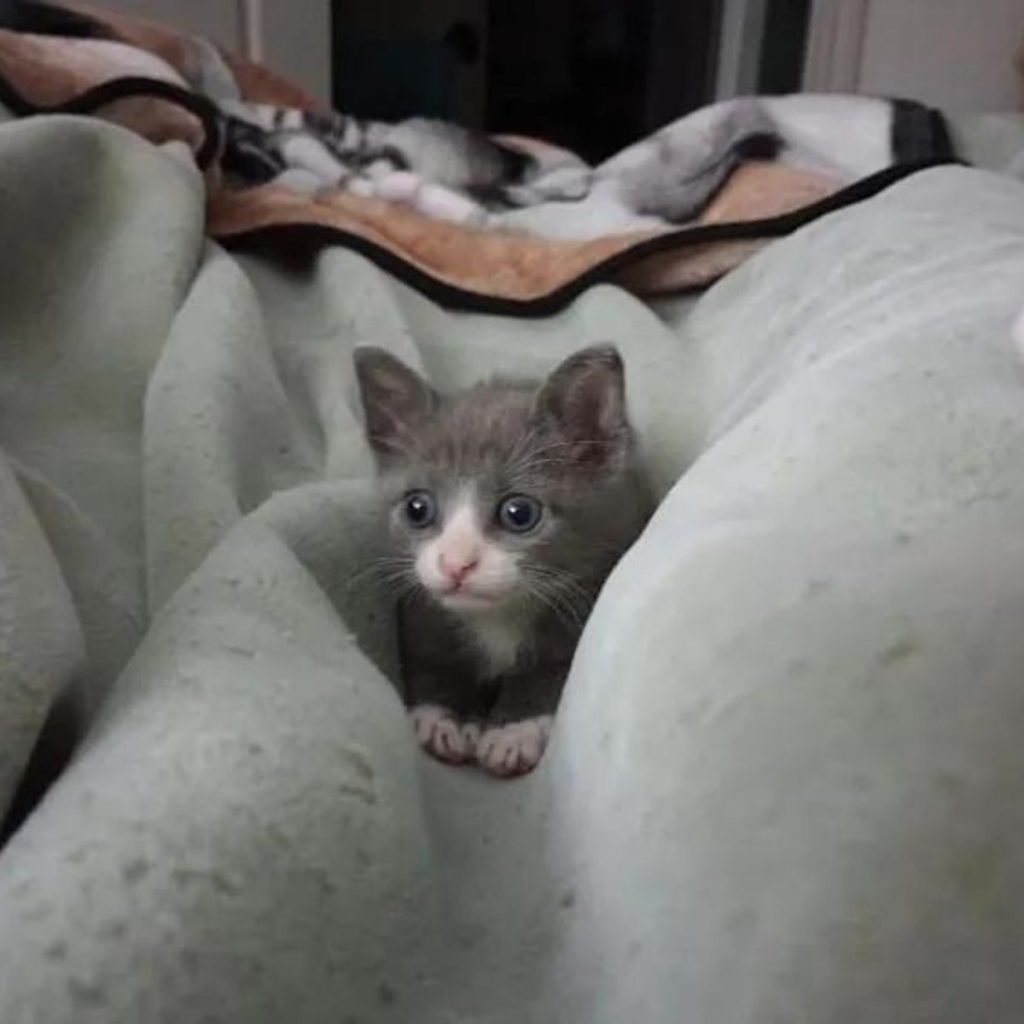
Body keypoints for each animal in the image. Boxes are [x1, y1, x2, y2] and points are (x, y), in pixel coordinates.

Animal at [356, 344, 651, 774]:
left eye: (519, 513)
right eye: (417, 508)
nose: (456, 564)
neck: (498, 616)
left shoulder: (590, 584)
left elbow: (556, 667)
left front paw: (514, 730)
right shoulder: (419, 608)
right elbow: (429, 655)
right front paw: (445, 717)